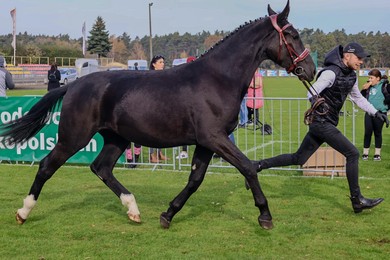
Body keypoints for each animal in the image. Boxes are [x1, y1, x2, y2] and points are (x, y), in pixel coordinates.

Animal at [0, 1, 316, 230]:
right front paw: (265, 215)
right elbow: (248, 167)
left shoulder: (205, 142)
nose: (310, 70)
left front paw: (168, 214)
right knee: (46, 166)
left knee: (101, 168)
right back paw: (23, 212)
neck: (217, 79)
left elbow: (195, 179)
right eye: (293, 35)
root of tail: (74, 84)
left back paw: (133, 209)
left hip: (116, 139)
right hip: (73, 138)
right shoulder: (214, 137)